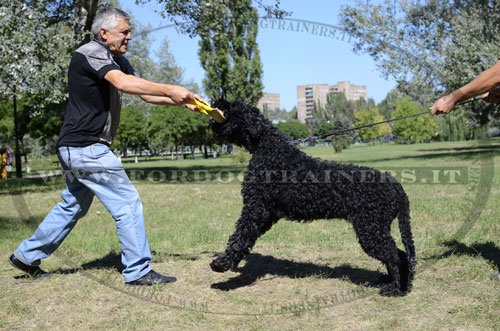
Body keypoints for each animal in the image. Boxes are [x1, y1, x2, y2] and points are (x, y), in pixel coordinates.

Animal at [209, 100, 416, 296]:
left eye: (234, 106)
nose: (216, 103)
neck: (268, 148)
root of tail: (398, 188)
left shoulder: (255, 208)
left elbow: (239, 236)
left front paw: (221, 263)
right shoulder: (266, 214)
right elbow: (244, 237)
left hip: (371, 230)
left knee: (396, 256)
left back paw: (397, 289)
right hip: (376, 229)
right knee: (399, 254)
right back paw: (391, 281)